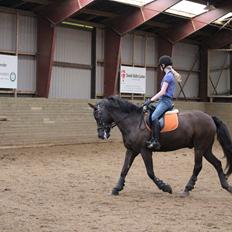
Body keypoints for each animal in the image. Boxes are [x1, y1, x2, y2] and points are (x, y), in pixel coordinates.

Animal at [88, 95, 232, 197]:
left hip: (199, 147)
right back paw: (226, 186)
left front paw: (165, 187)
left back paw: (187, 189)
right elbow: (124, 169)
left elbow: (150, 172)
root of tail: (209, 117)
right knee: (217, 163)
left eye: (98, 116)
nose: (101, 135)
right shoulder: (131, 150)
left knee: (198, 166)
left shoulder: (145, 150)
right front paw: (116, 188)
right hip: (206, 149)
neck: (133, 121)